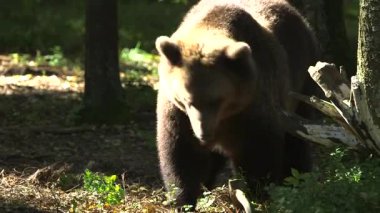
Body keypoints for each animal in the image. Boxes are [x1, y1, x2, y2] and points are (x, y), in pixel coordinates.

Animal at [154, 0, 318, 208]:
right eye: (186, 99)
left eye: (217, 100)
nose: (203, 133)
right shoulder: (177, 114)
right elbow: (182, 155)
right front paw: (184, 199)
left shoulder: (251, 107)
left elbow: (259, 153)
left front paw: (259, 194)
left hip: (301, 81)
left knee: (297, 140)